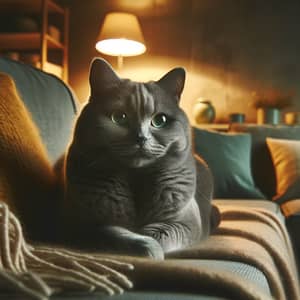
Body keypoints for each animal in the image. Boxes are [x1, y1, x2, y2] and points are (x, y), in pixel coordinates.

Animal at [62, 57, 218, 258]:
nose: (141, 137)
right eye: (119, 117)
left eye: (160, 120)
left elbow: (160, 232)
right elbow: (113, 232)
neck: (135, 179)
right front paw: (147, 247)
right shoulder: (79, 223)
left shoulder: (186, 222)